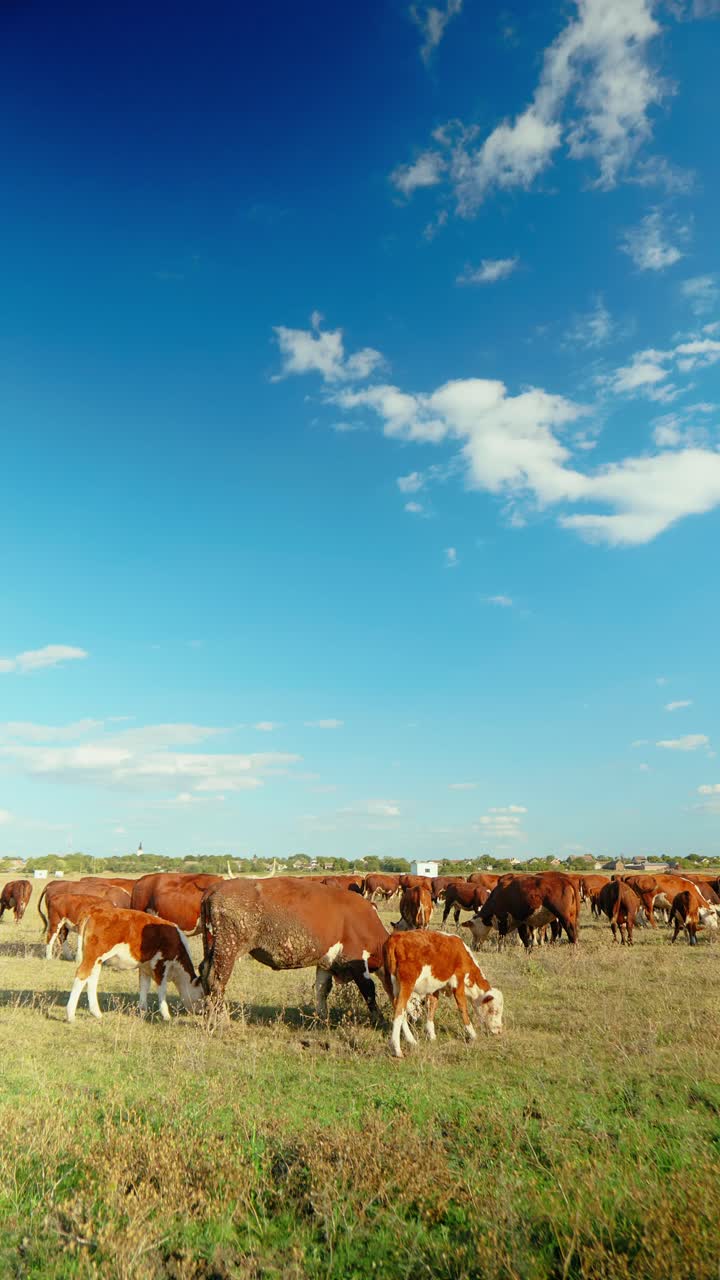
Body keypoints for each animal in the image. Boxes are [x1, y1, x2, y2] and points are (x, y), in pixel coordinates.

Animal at [66, 905, 203, 1022]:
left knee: (92, 979)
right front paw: (166, 1015)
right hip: (94, 955)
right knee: (82, 975)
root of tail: (96, 911)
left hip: (97, 959)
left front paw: (143, 1011)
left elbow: (144, 986)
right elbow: (162, 990)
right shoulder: (160, 963)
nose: (202, 1012)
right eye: (202, 996)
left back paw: (96, 1013)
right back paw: (70, 1015)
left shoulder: (145, 966)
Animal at [199, 877, 389, 1022]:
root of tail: (215, 888)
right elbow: (369, 990)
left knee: (204, 974)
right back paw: (221, 1020)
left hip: (211, 948)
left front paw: (323, 1018)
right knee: (217, 982)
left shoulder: (326, 962)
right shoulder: (356, 959)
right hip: (227, 950)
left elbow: (322, 989)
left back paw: (207, 1015)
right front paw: (379, 1019)